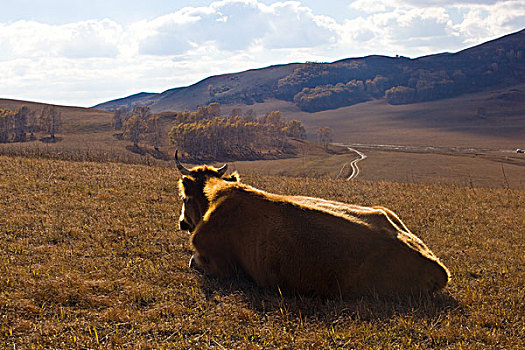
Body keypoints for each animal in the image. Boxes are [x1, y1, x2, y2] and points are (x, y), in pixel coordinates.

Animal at [177, 152, 450, 296]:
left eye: (184, 197)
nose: (181, 223)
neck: (214, 200)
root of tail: (437, 267)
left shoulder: (218, 264)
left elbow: (192, 261)